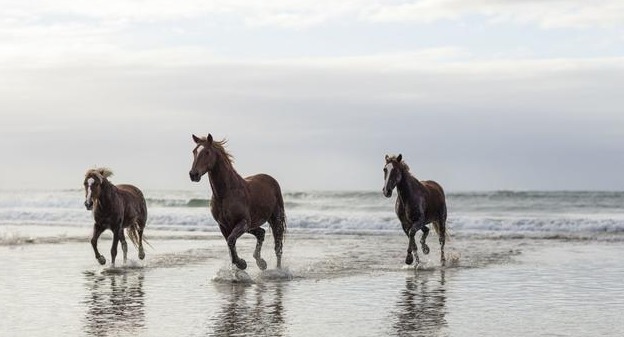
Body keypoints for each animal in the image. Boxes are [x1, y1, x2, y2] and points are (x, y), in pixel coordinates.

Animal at [188, 133, 288, 270]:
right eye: (194, 151)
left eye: (207, 152)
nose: (193, 174)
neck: (225, 194)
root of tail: (271, 179)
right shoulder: (224, 225)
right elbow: (230, 243)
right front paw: (240, 265)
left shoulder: (243, 222)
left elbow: (231, 241)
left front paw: (241, 263)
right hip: (252, 224)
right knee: (261, 233)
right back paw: (261, 262)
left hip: (275, 219)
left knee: (278, 246)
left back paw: (277, 269)